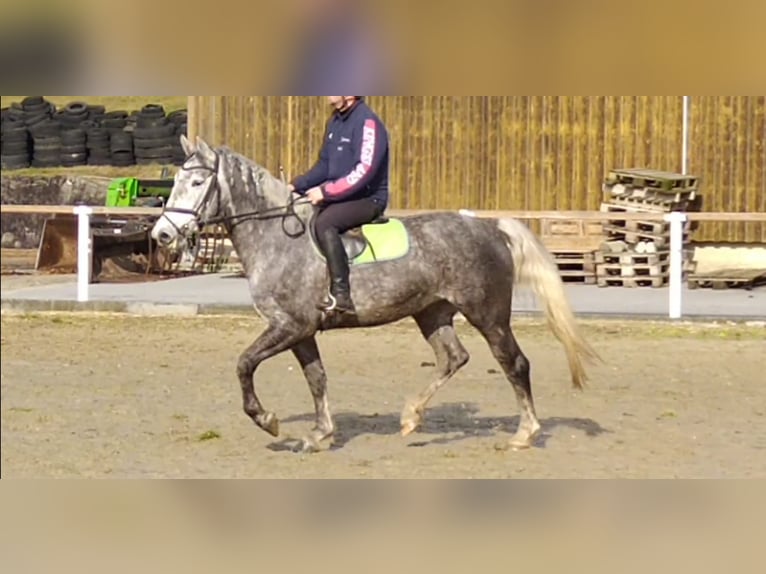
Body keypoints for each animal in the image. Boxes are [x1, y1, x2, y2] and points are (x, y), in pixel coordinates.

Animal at [153, 136, 604, 454]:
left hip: (488, 315)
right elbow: (316, 378)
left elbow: (245, 364)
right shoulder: (301, 330)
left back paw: (524, 434)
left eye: (198, 182)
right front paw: (319, 434)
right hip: (431, 312)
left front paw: (268, 419)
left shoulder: (289, 326)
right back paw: (411, 417)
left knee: (514, 363)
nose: (161, 235)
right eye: (175, 182)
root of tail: (489, 226)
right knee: (453, 357)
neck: (275, 238)